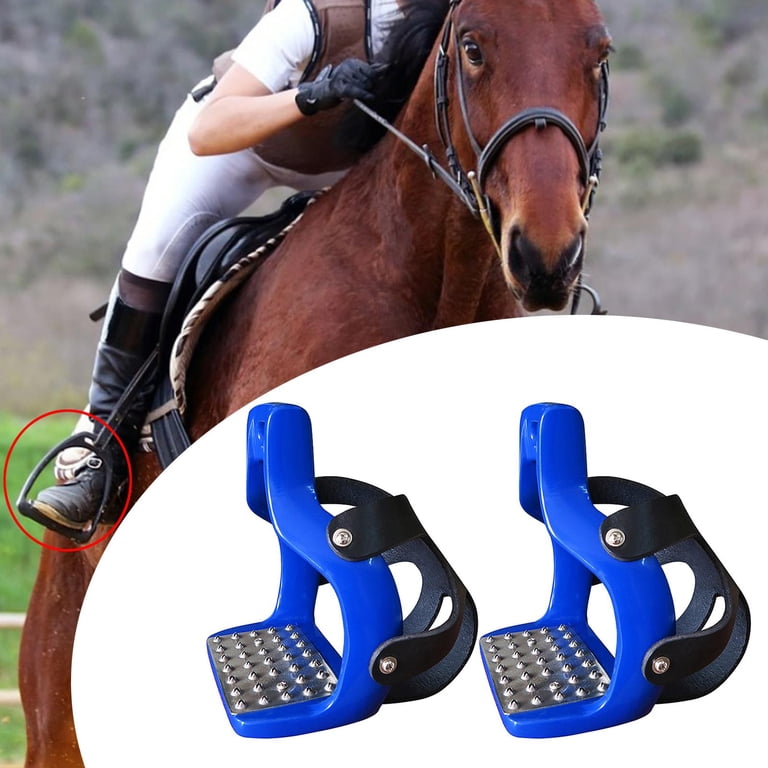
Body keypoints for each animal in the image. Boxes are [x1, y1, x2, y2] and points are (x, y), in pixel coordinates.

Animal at [19, 0, 612, 764]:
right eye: (473, 49)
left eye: (598, 54)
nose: (546, 255)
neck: (434, 283)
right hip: (58, 706)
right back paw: (81, 483)